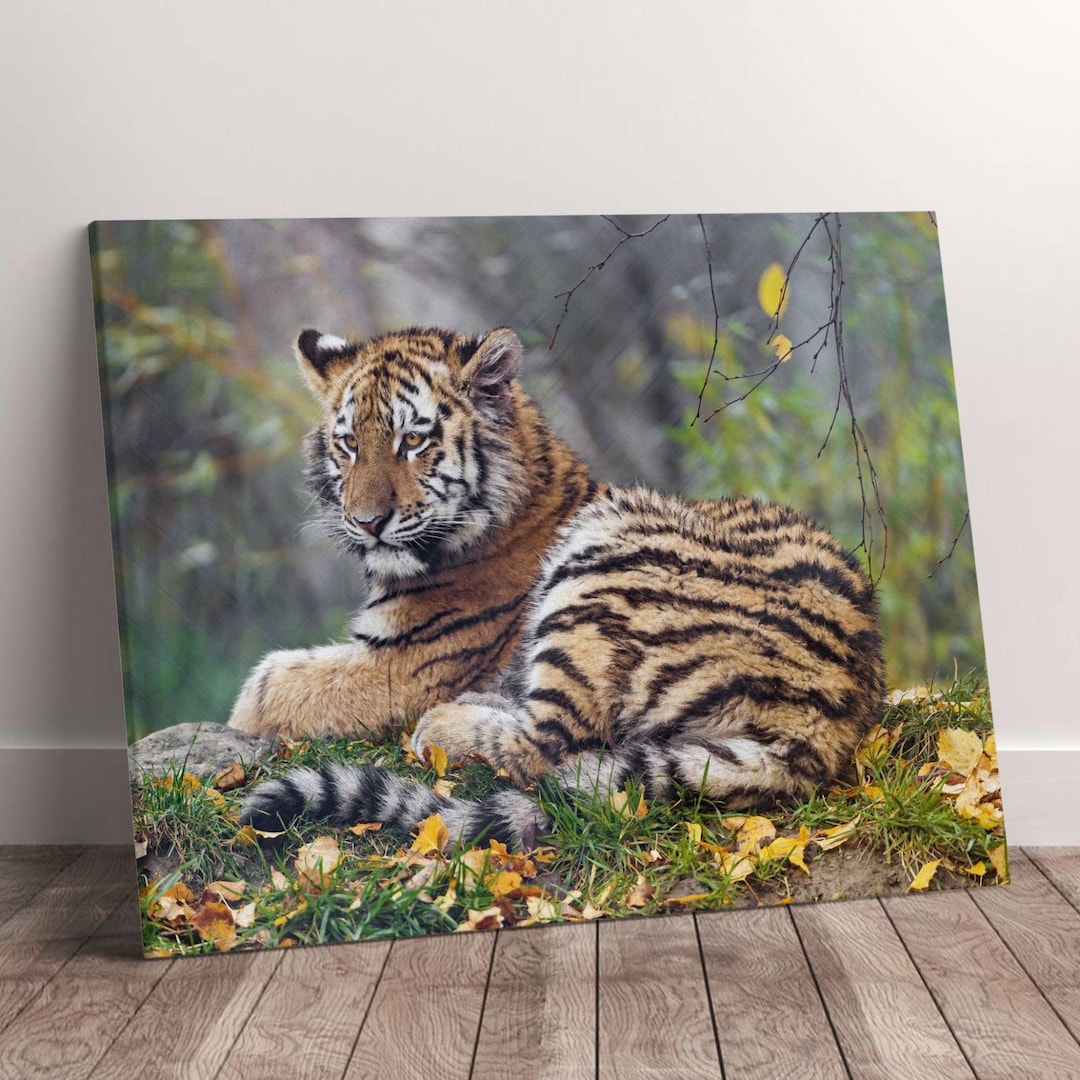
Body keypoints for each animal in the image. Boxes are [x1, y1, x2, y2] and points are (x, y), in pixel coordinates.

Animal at [232, 325, 885, 850]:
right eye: (349, 444)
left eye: (412, 441)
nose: (366, 522)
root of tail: (831, 718)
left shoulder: (406, 664)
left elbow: (266, 687)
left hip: (602, 561)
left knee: (549, 744)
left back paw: (443, 725)